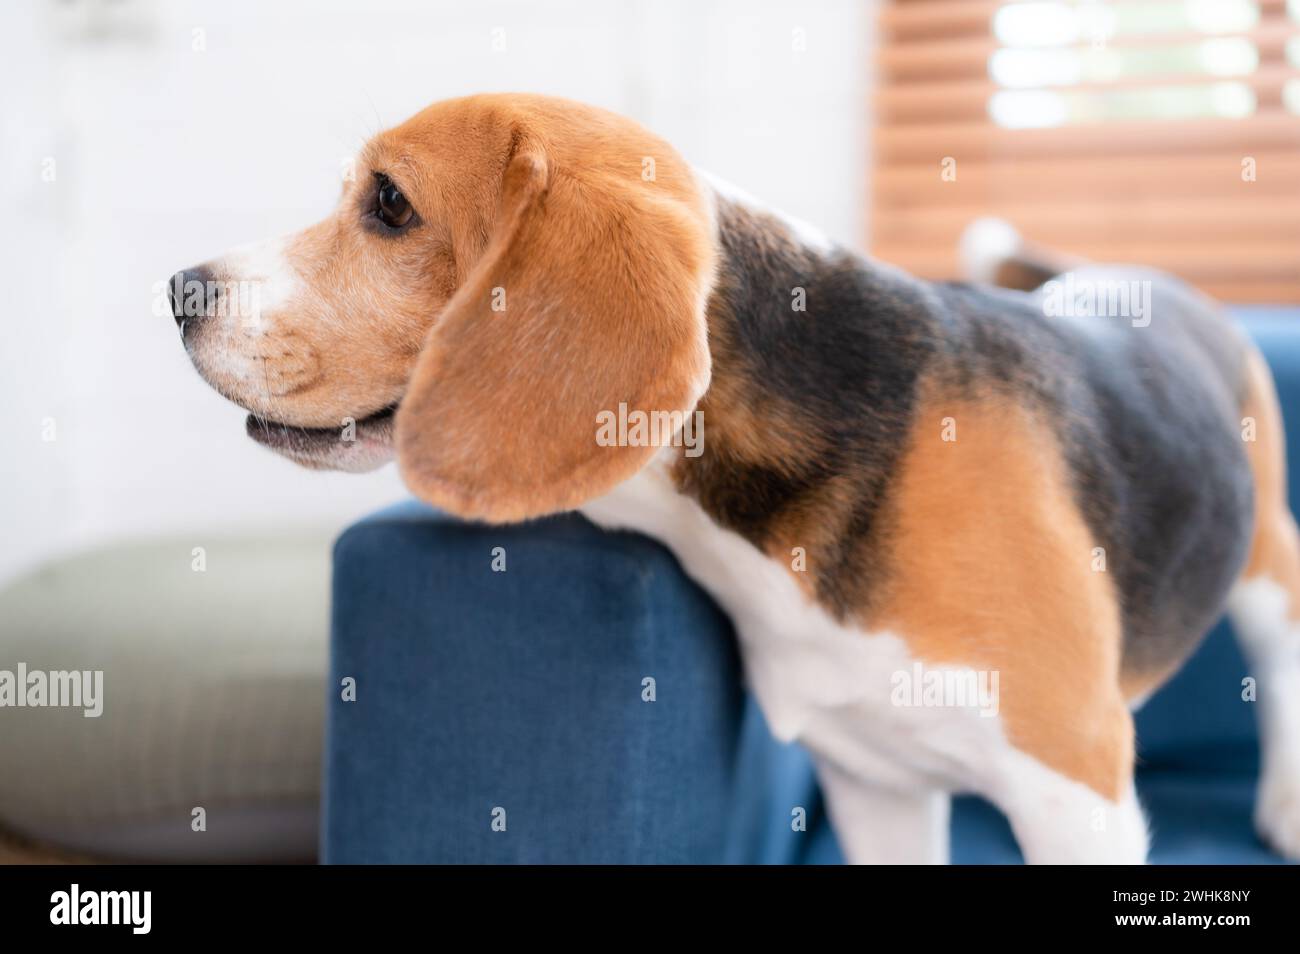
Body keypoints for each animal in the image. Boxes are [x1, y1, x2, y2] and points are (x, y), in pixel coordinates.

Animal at [172, 95, 1300, 868]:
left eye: (390, 204)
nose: (180, 289)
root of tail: (1145, 276)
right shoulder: (874, 785)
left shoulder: (1072, 792)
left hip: (1266, 560)